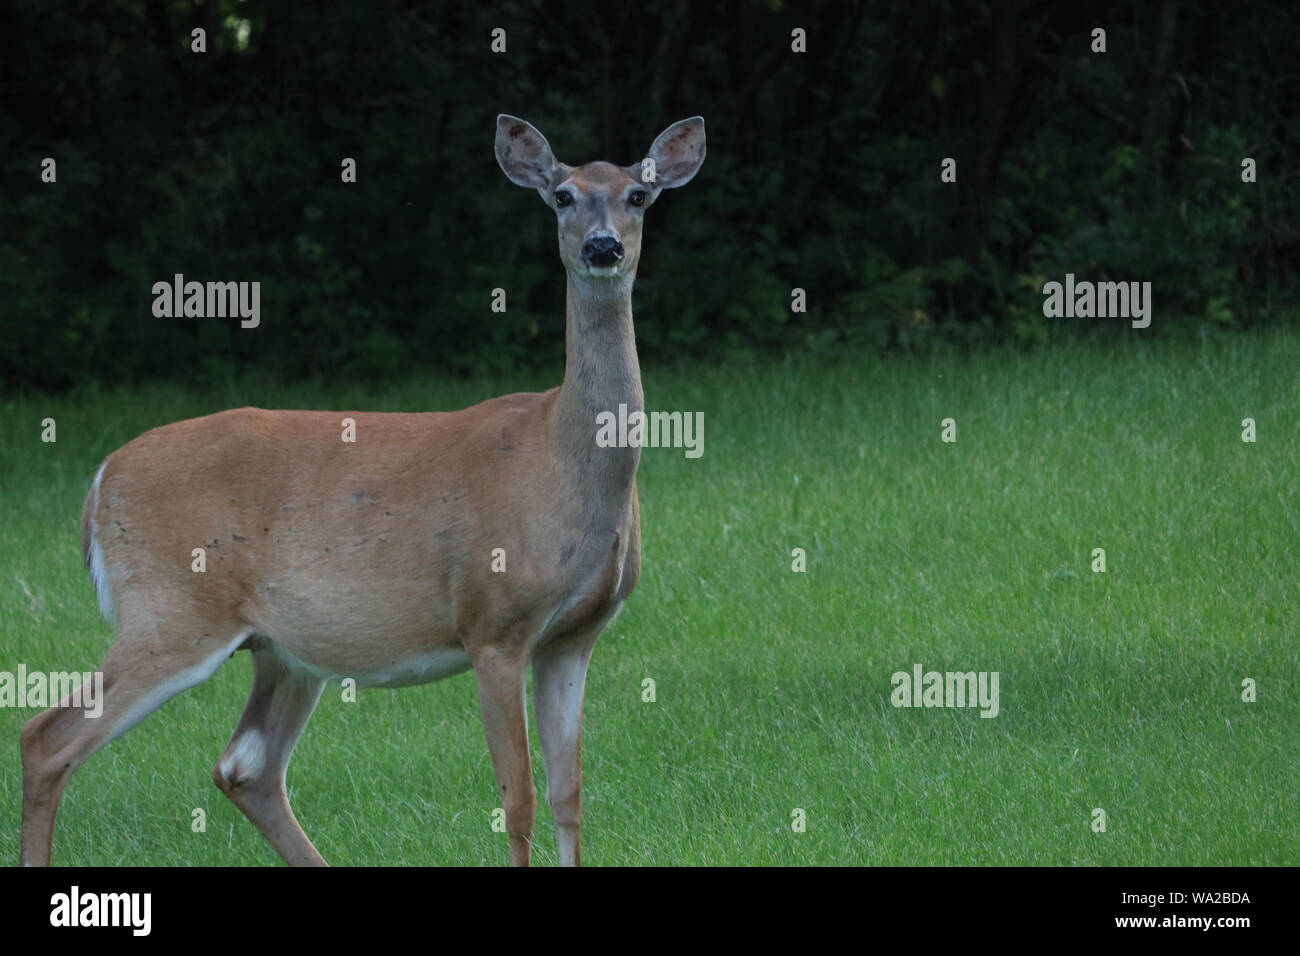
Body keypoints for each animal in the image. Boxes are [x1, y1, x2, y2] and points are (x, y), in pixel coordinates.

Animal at [20, 111, 707, 868]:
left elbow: (569, 796)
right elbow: (518, 801)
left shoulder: (574, 637)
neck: (563, 460)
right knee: (47, 738)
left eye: (638, 195)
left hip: (281, 650)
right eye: (561, 195)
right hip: (171, 608)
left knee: (244, 766)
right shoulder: (492, 623)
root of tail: (100, 479)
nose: (602, 246)